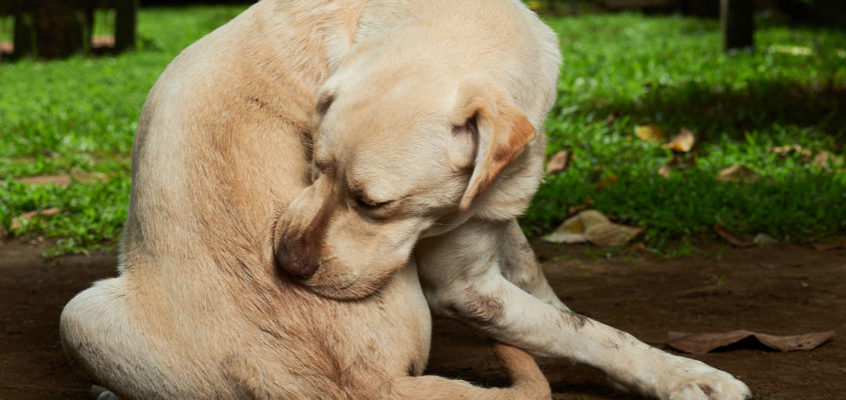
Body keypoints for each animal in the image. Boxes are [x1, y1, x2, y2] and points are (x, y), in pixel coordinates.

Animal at [59, 0, 752, 400]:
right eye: (314, 166)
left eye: (375, 204)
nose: (285, 265)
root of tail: (366, 386)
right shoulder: (464, 287)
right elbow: (587, 329)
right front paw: (686, 375)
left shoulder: (492, 224)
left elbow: (558, 306)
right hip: (77, 314)